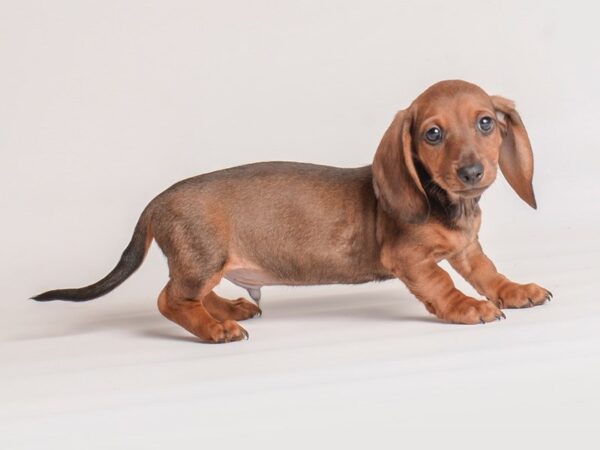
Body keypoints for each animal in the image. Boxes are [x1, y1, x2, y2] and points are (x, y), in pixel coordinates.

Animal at [32, 80, 552, 342]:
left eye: (486, 123)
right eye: (433, 134)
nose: (472, 172)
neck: (449, 205)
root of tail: (157, 200)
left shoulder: (468, 248)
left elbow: (487, 272)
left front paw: (515, 291)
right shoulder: (410, 260)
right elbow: (443, 284)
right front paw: (467, 307)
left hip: (206, 263)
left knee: (188, 294)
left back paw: (229, 308)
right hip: (202, 257)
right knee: (170, 299)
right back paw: (216, 328)